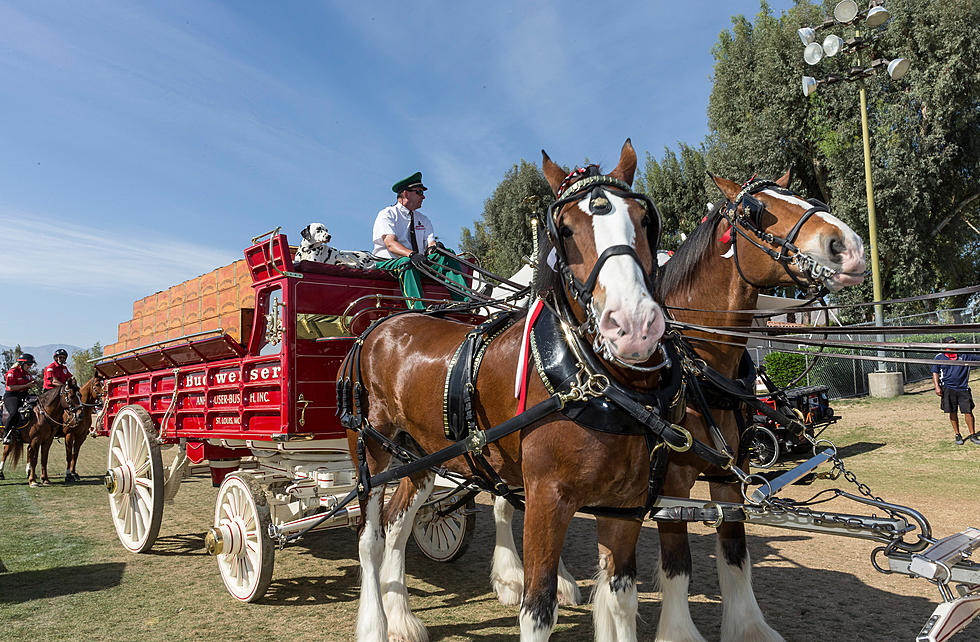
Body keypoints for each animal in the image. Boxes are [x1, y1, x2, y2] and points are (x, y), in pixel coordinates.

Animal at [342, 141, 672, 640]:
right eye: (565, 230)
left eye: (644, 219)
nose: (633, 325)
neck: (590, 380)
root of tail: (378, 325)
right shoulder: (546, 498)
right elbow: (537, 608)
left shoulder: (624, 508)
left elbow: (622, 602)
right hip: (372, 456)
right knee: (369, 539)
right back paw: (375, 623)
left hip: (420, 457)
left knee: (397, 525)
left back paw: (400, 618)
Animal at [488, 168, 864, 636]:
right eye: (754, 211)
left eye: (802, 196)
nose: (849, 246)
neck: (698, 366)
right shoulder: (672, 484)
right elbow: (677, 564)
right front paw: (679, 632)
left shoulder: (727, 476)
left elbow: (735, 554)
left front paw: (749, 627)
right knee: (506, 505)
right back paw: (511, 578)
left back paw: (559, 580)